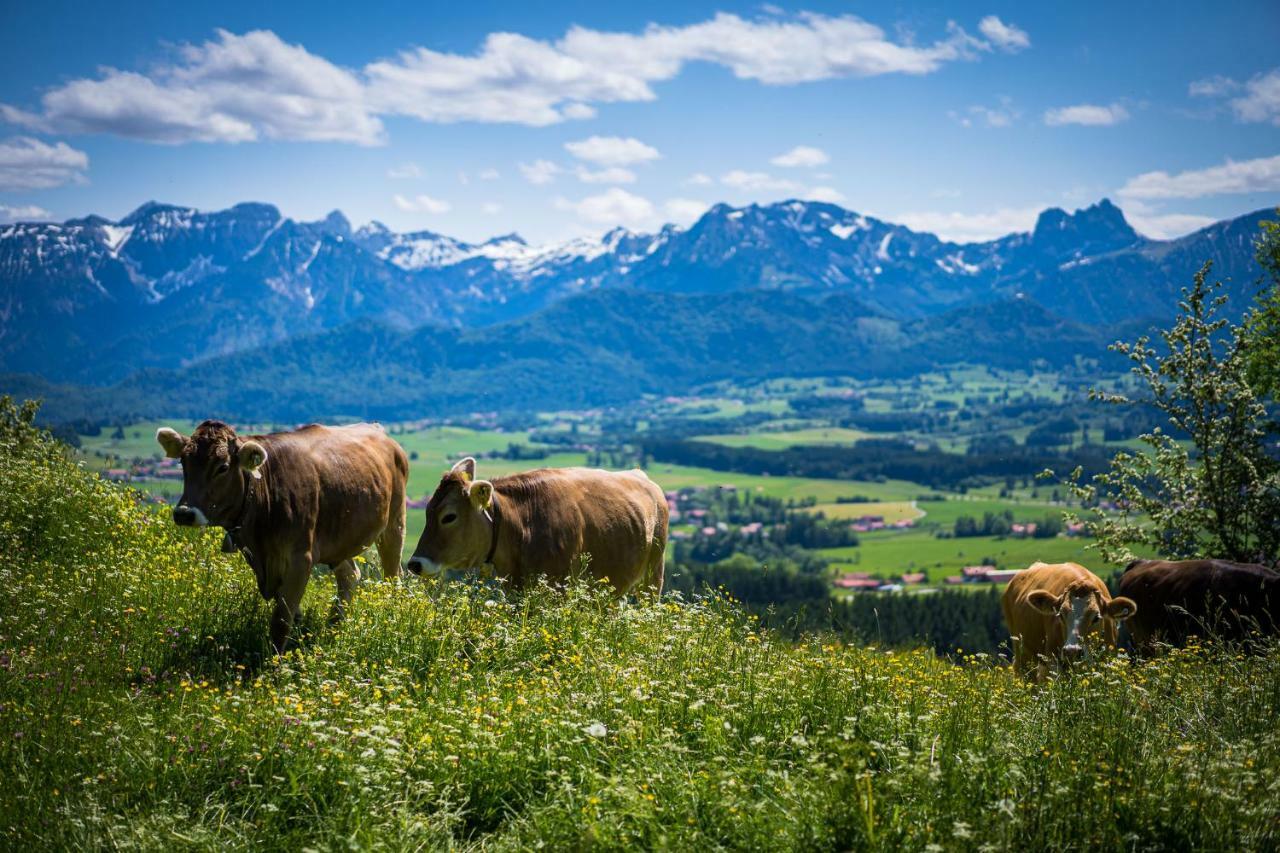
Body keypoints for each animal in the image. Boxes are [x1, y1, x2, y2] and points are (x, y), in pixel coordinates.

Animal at [156, 420, 404, 650]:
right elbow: (290, 613)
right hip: (338, 539)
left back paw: (391, 616)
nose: (184, 513)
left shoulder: (300, 558)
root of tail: (376, 428)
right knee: (350, 575)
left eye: (223, 467)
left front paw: (274, 663)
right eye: (183, 462)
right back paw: (334, 625)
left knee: (393, 574)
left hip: (394, 522)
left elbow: (281, 621)